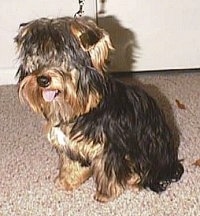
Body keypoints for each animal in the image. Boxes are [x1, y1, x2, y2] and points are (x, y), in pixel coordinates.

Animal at [14, 16, 184, 202]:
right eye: (36, 59)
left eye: (63, 60)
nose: (43, 80)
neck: (78, 111)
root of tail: (171, 162)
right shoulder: (70, 145)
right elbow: (71, 163)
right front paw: (67, 181)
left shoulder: (109, 147)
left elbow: (107, 171)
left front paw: (104, 194)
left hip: (149, 148)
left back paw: (135, 178)